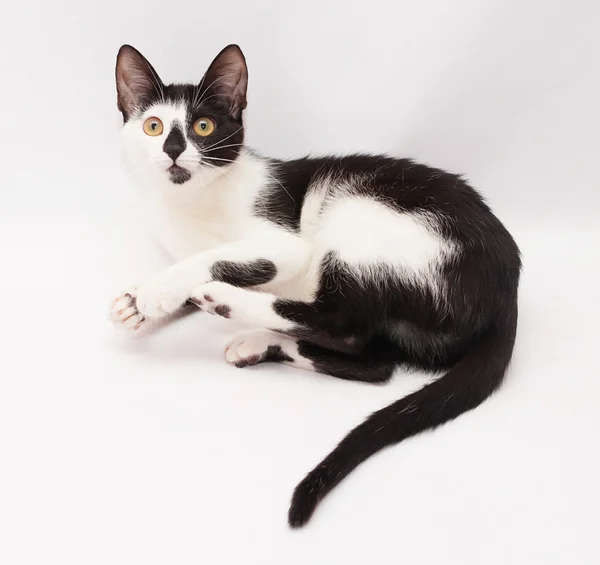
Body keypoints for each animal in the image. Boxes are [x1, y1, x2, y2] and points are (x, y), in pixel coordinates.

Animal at [111, 45, 520, 528]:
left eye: (202, 127)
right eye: (153, 126)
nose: (174, 151)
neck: (193, 203)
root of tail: (507, 289)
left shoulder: (283, 243)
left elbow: (213, 262)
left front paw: (157, 291)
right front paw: (135, 303)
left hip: (360, 213)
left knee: (346, 327)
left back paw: (227, 303)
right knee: (375, 360)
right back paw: (259, 343)